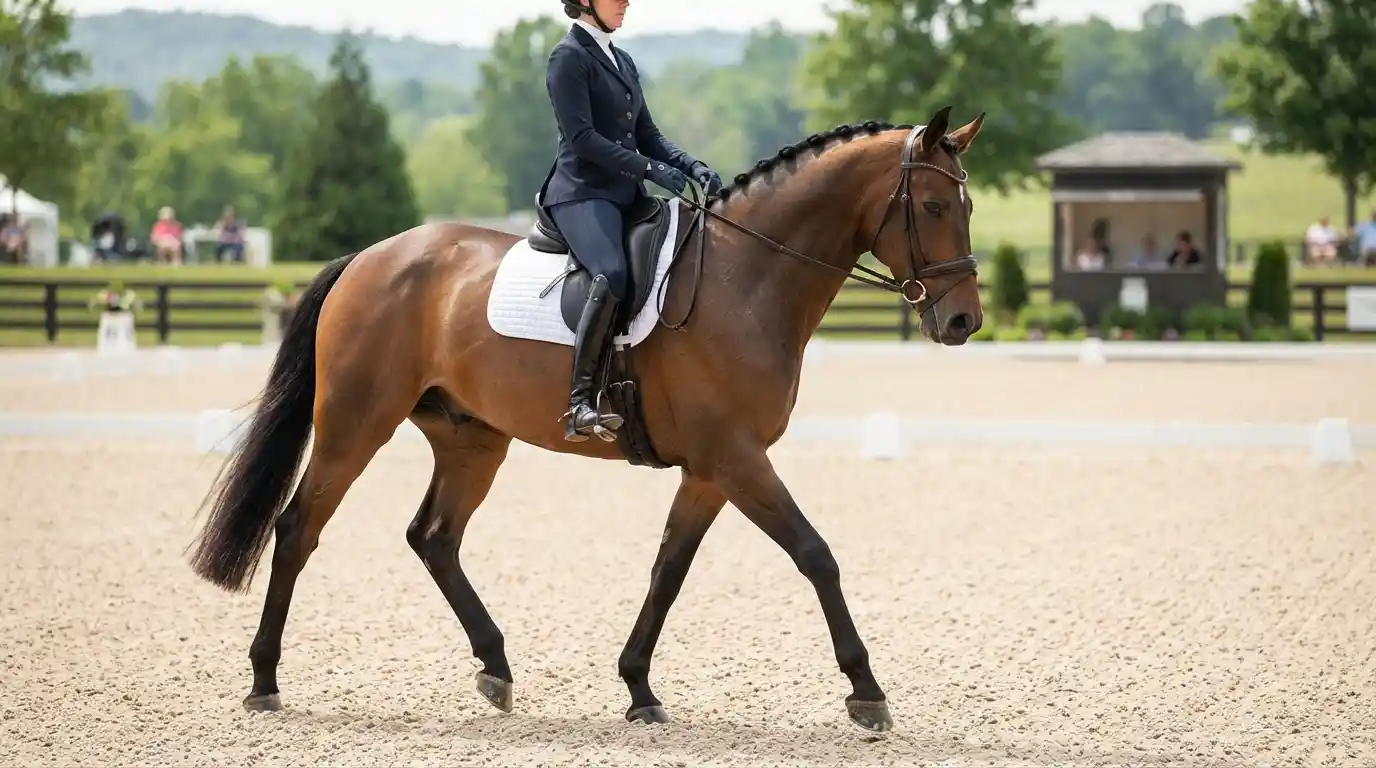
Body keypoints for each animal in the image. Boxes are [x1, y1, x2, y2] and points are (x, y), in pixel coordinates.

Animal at [185, 105, 986, 733]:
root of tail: (368, 258)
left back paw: (496, 667)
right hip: (357, 422)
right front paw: (867, 692)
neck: (749, 277)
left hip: (472, 438)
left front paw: (639, 687)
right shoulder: (737, 458)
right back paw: (264, 681)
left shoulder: (711, 469)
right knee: (299, 528)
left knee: (434, 537)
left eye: (969, 208)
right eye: (934, 208)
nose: (963, 322)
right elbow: (816, 555)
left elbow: (669, 568)